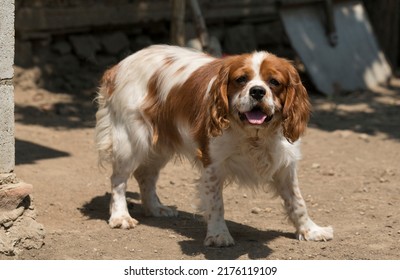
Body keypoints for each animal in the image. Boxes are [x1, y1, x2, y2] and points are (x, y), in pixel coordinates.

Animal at [95, 44, 332, 246]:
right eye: (241, 79)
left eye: (274, 82)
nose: (257, 91)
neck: (254, 135)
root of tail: (120, 64)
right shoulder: (213, 165)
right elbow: (217, 203)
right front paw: (218, 235)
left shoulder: (285, 165)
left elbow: (297, 201)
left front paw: (310, 230)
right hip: (131, 140)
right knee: (118, 180)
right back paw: (120, 216)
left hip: (159, 145)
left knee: (146, 175)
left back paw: (155, 209)